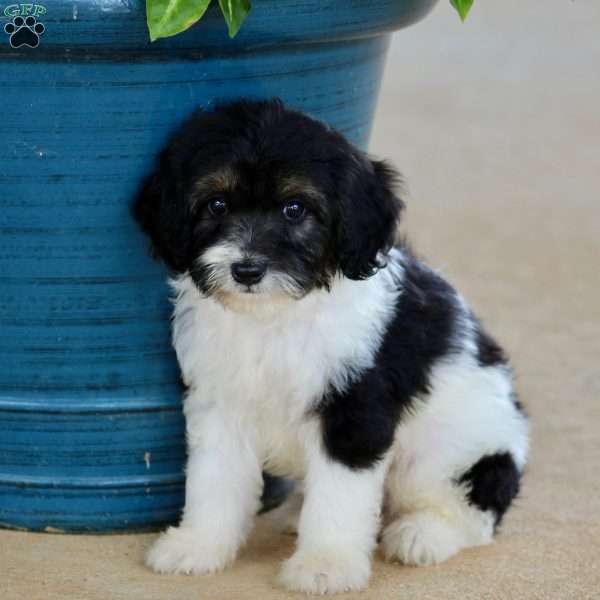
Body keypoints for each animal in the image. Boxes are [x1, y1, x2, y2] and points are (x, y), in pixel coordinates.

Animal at [135, 101, 528, 592]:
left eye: (294, 209)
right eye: (217, 204)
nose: (246, 270)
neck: (273, 316)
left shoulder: (354, 410)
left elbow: (340, 495)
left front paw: (326, 564)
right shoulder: (219, 402)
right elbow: (214, 478)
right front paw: (199, 545)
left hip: (453, 451)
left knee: (472, 508)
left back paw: (423, 534)